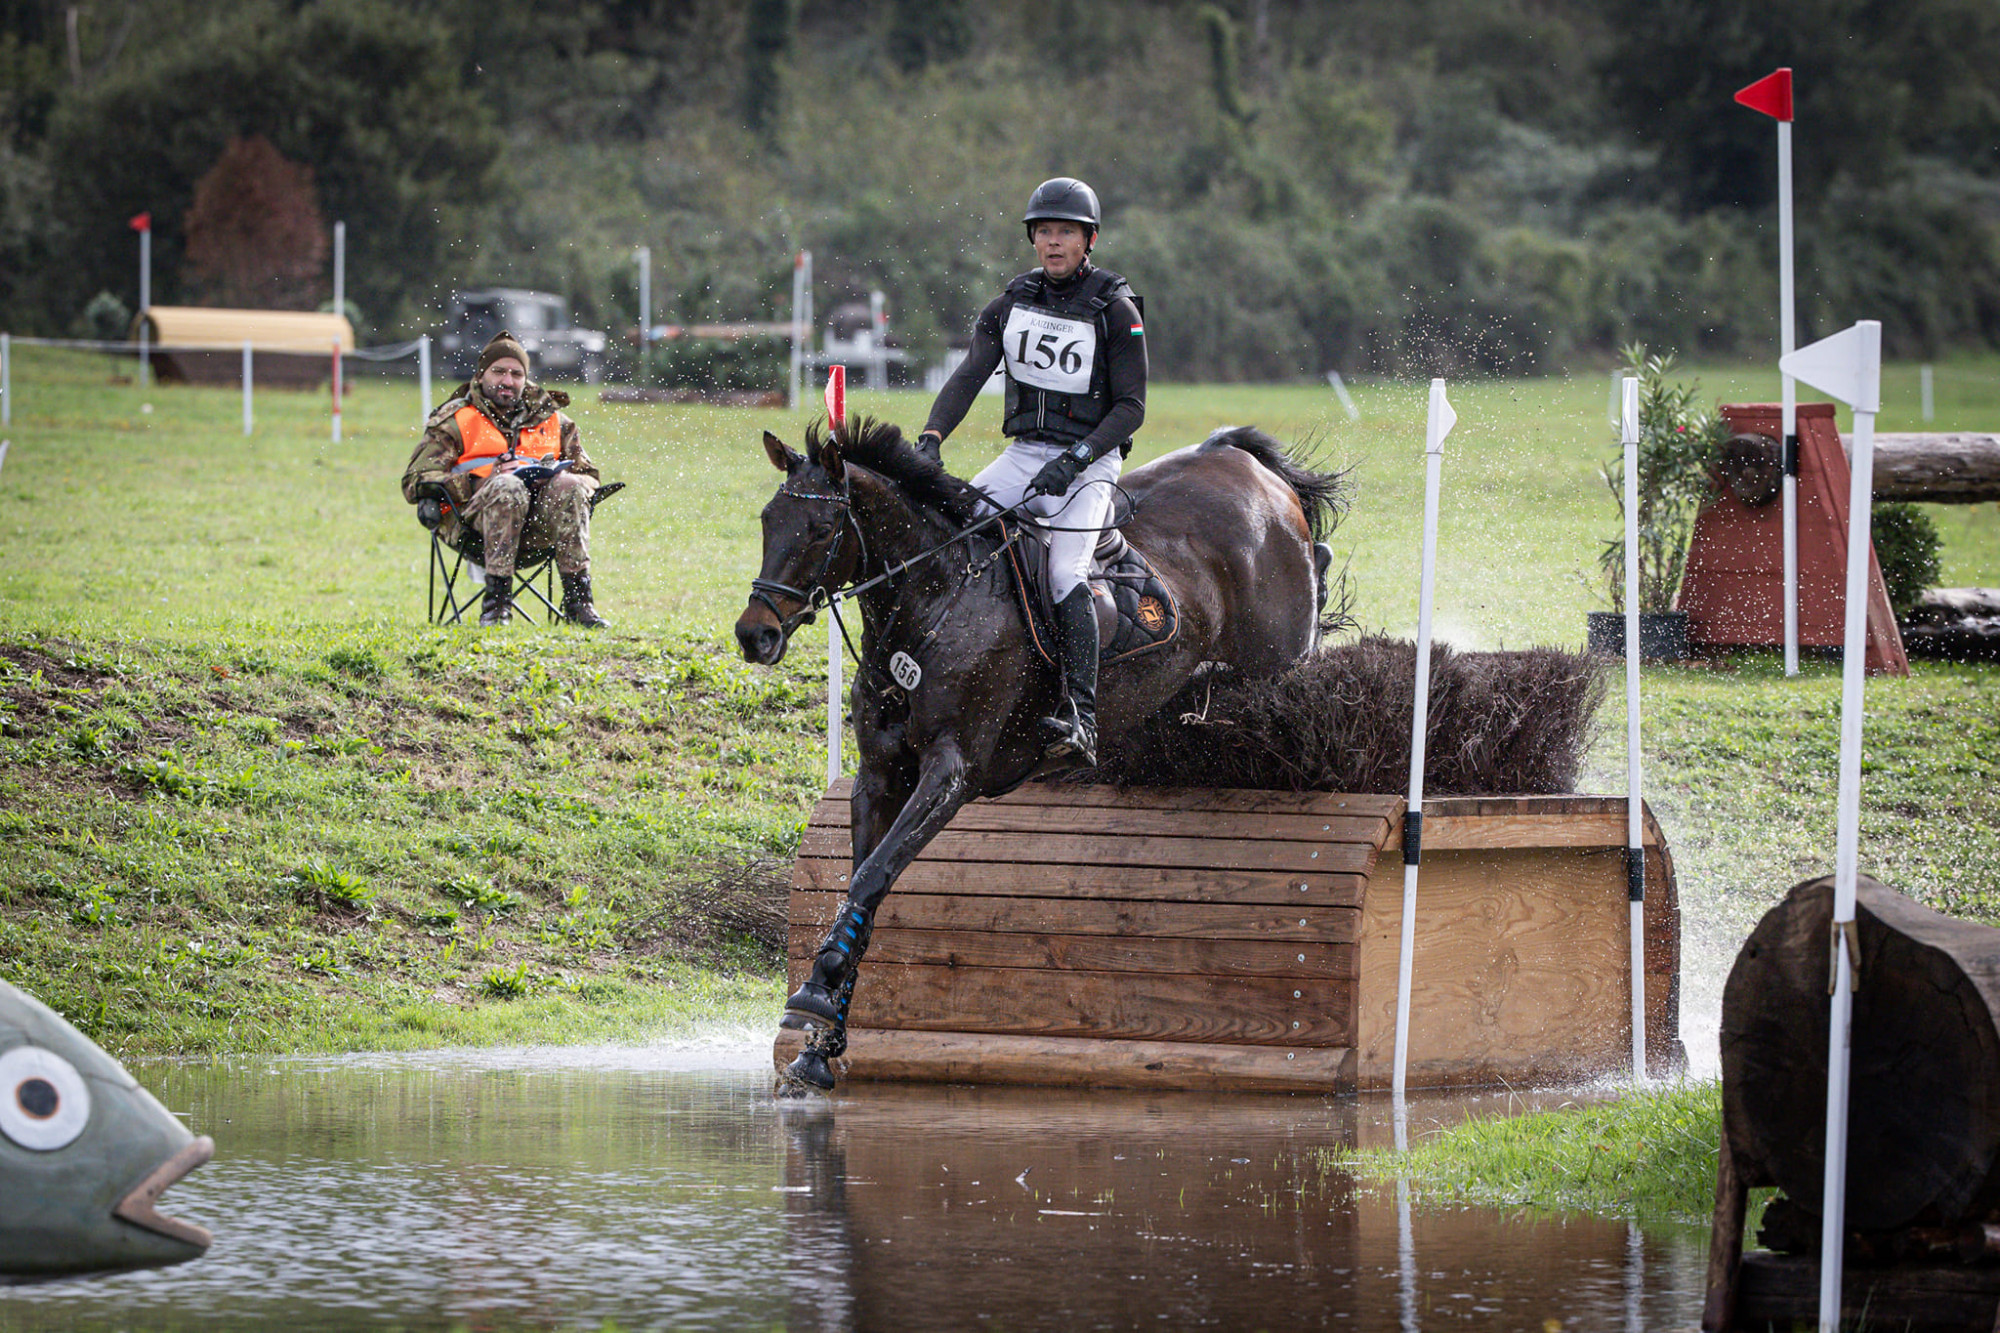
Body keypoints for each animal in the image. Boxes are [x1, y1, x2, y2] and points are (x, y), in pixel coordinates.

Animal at [736, 418, 1344, 1088]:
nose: (754, 634)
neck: (936, 601)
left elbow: (873, 876)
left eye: (821, 529)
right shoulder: (877, 777)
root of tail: (1245, 466)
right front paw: (821, 1041)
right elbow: (864, 889)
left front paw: (814, 993)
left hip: (1277, 658)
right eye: (767, 520)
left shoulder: (951, 774)